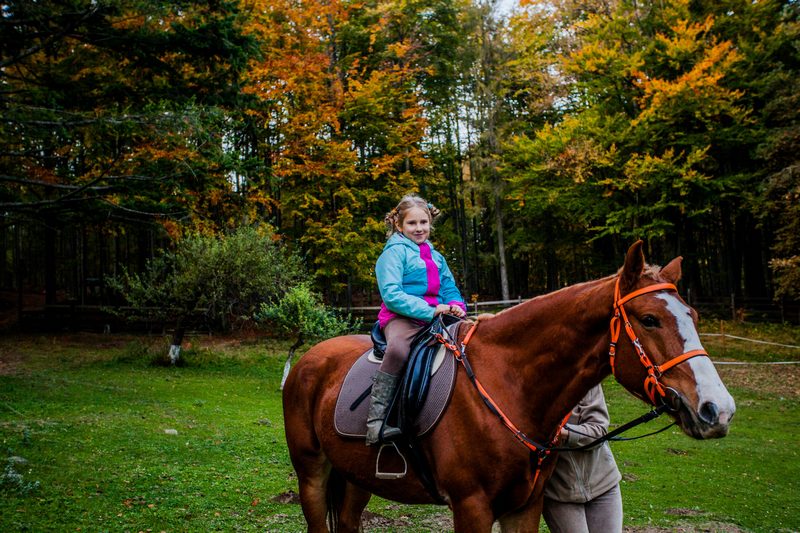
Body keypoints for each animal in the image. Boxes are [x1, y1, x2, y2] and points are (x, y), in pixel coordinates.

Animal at [282, 242, 736, 532]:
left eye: (693, 315)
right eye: (649, 319)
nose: (718, 408)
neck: (509, 382)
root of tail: (306, 360)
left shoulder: (525, 507)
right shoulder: (471, 507)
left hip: (356, 478)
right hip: (312, 475)